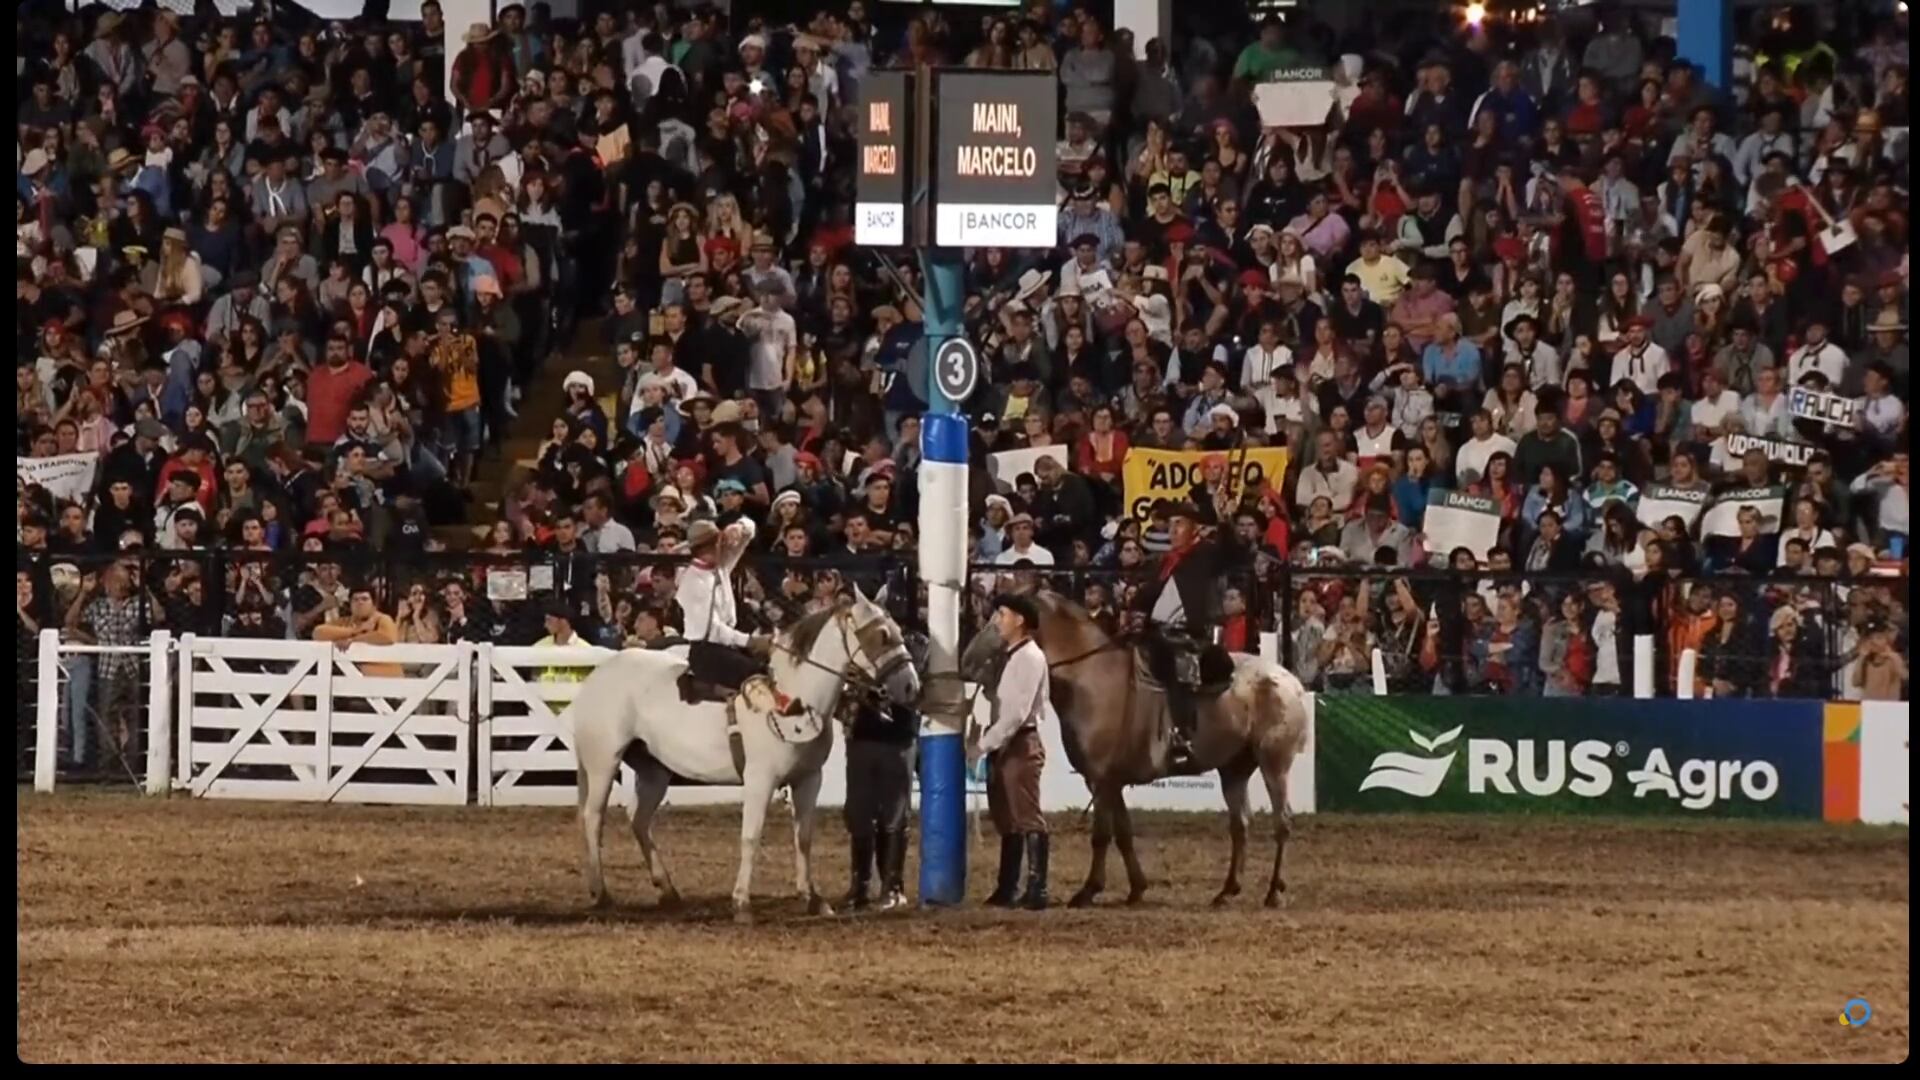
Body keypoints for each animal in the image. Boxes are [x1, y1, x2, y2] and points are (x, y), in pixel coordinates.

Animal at [564, 584, 917, 922]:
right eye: (881, 635)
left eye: (899, 629)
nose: (911, 686)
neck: (794, 698)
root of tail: (598, 675)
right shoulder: (760, 780)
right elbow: (751, 837)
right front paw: (742, 904)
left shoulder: (808, 779)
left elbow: (803, 838)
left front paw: (813, 899)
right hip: (602, 763)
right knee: (593, 818)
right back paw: (601, 893)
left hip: (653, 769)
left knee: (639, 820)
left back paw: (667, 890)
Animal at [960, 591, 1320, 903]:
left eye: (998, 617)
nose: (967, 660)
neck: (1094, 679)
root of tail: (1290, 682)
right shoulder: (1110, 781)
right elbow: (1123, 833)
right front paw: (1136, 888)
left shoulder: (1102, 780)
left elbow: (1101, 835)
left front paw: (1088, 890)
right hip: (1234, 770)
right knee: (1240, 825)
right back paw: (1227, 890)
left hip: (1275, 764)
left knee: (1282, 822)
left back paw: (1273, 892)